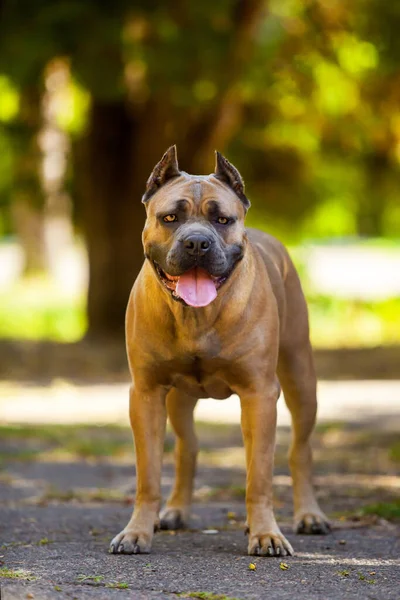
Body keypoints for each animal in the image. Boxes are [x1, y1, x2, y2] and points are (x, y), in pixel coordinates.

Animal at [111, 145, 330, 556]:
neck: (197, 317)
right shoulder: (146, 394)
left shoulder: (260, 395)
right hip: (178, 399)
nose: (197, 242)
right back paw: (176, 510)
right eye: (170, 217)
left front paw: (266, 534)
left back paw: (310, 515)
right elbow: (148, 475)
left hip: (300, 378)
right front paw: (137, 531)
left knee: (300, 450)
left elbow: (259, 477)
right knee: (188, 447)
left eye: (223, 220)